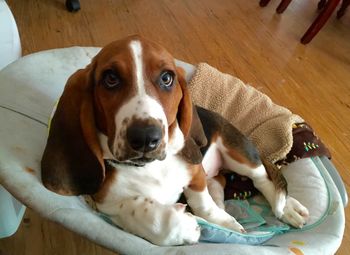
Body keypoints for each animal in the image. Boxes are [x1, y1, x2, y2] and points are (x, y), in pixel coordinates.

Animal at [41, 34, 308, 246]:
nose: (146, 137)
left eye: (167, 78)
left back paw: (288, 208)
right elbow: (136, 210)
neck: (149, 168)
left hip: (238, 152)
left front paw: (224, 223)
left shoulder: (196, 173)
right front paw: (183, 226)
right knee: (222, 181)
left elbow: (203, 203)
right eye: (111, 78)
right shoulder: (106, 201)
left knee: (262, 178)